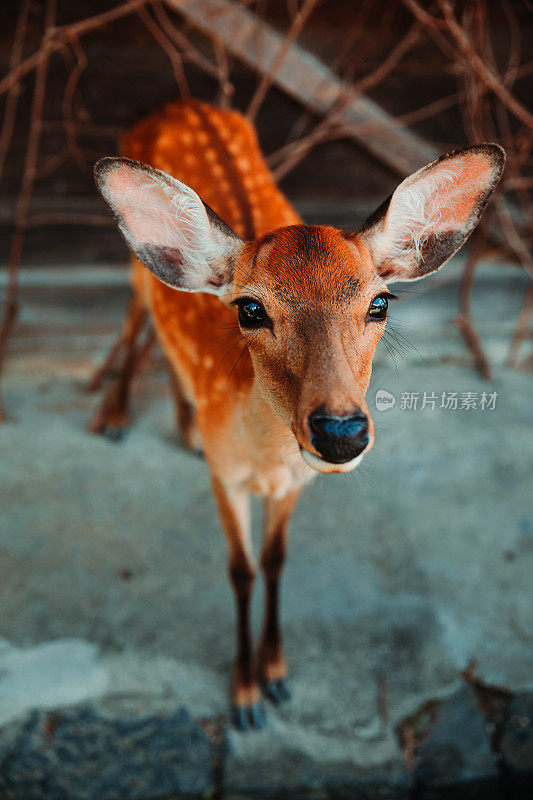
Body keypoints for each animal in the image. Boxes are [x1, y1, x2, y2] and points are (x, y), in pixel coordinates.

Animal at [93, 97, 504, 728]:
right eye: (251, 308)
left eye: (379, 302)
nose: (340, 432)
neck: (263, 461)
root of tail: (178, 103)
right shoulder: (224, 476)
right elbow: (240, 570)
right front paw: (245, 696)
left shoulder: (294, 482)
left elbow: (276, 560)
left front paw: (277, 674)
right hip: (137, 268)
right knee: (135, 317)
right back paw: (114, 417)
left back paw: (185, 427)